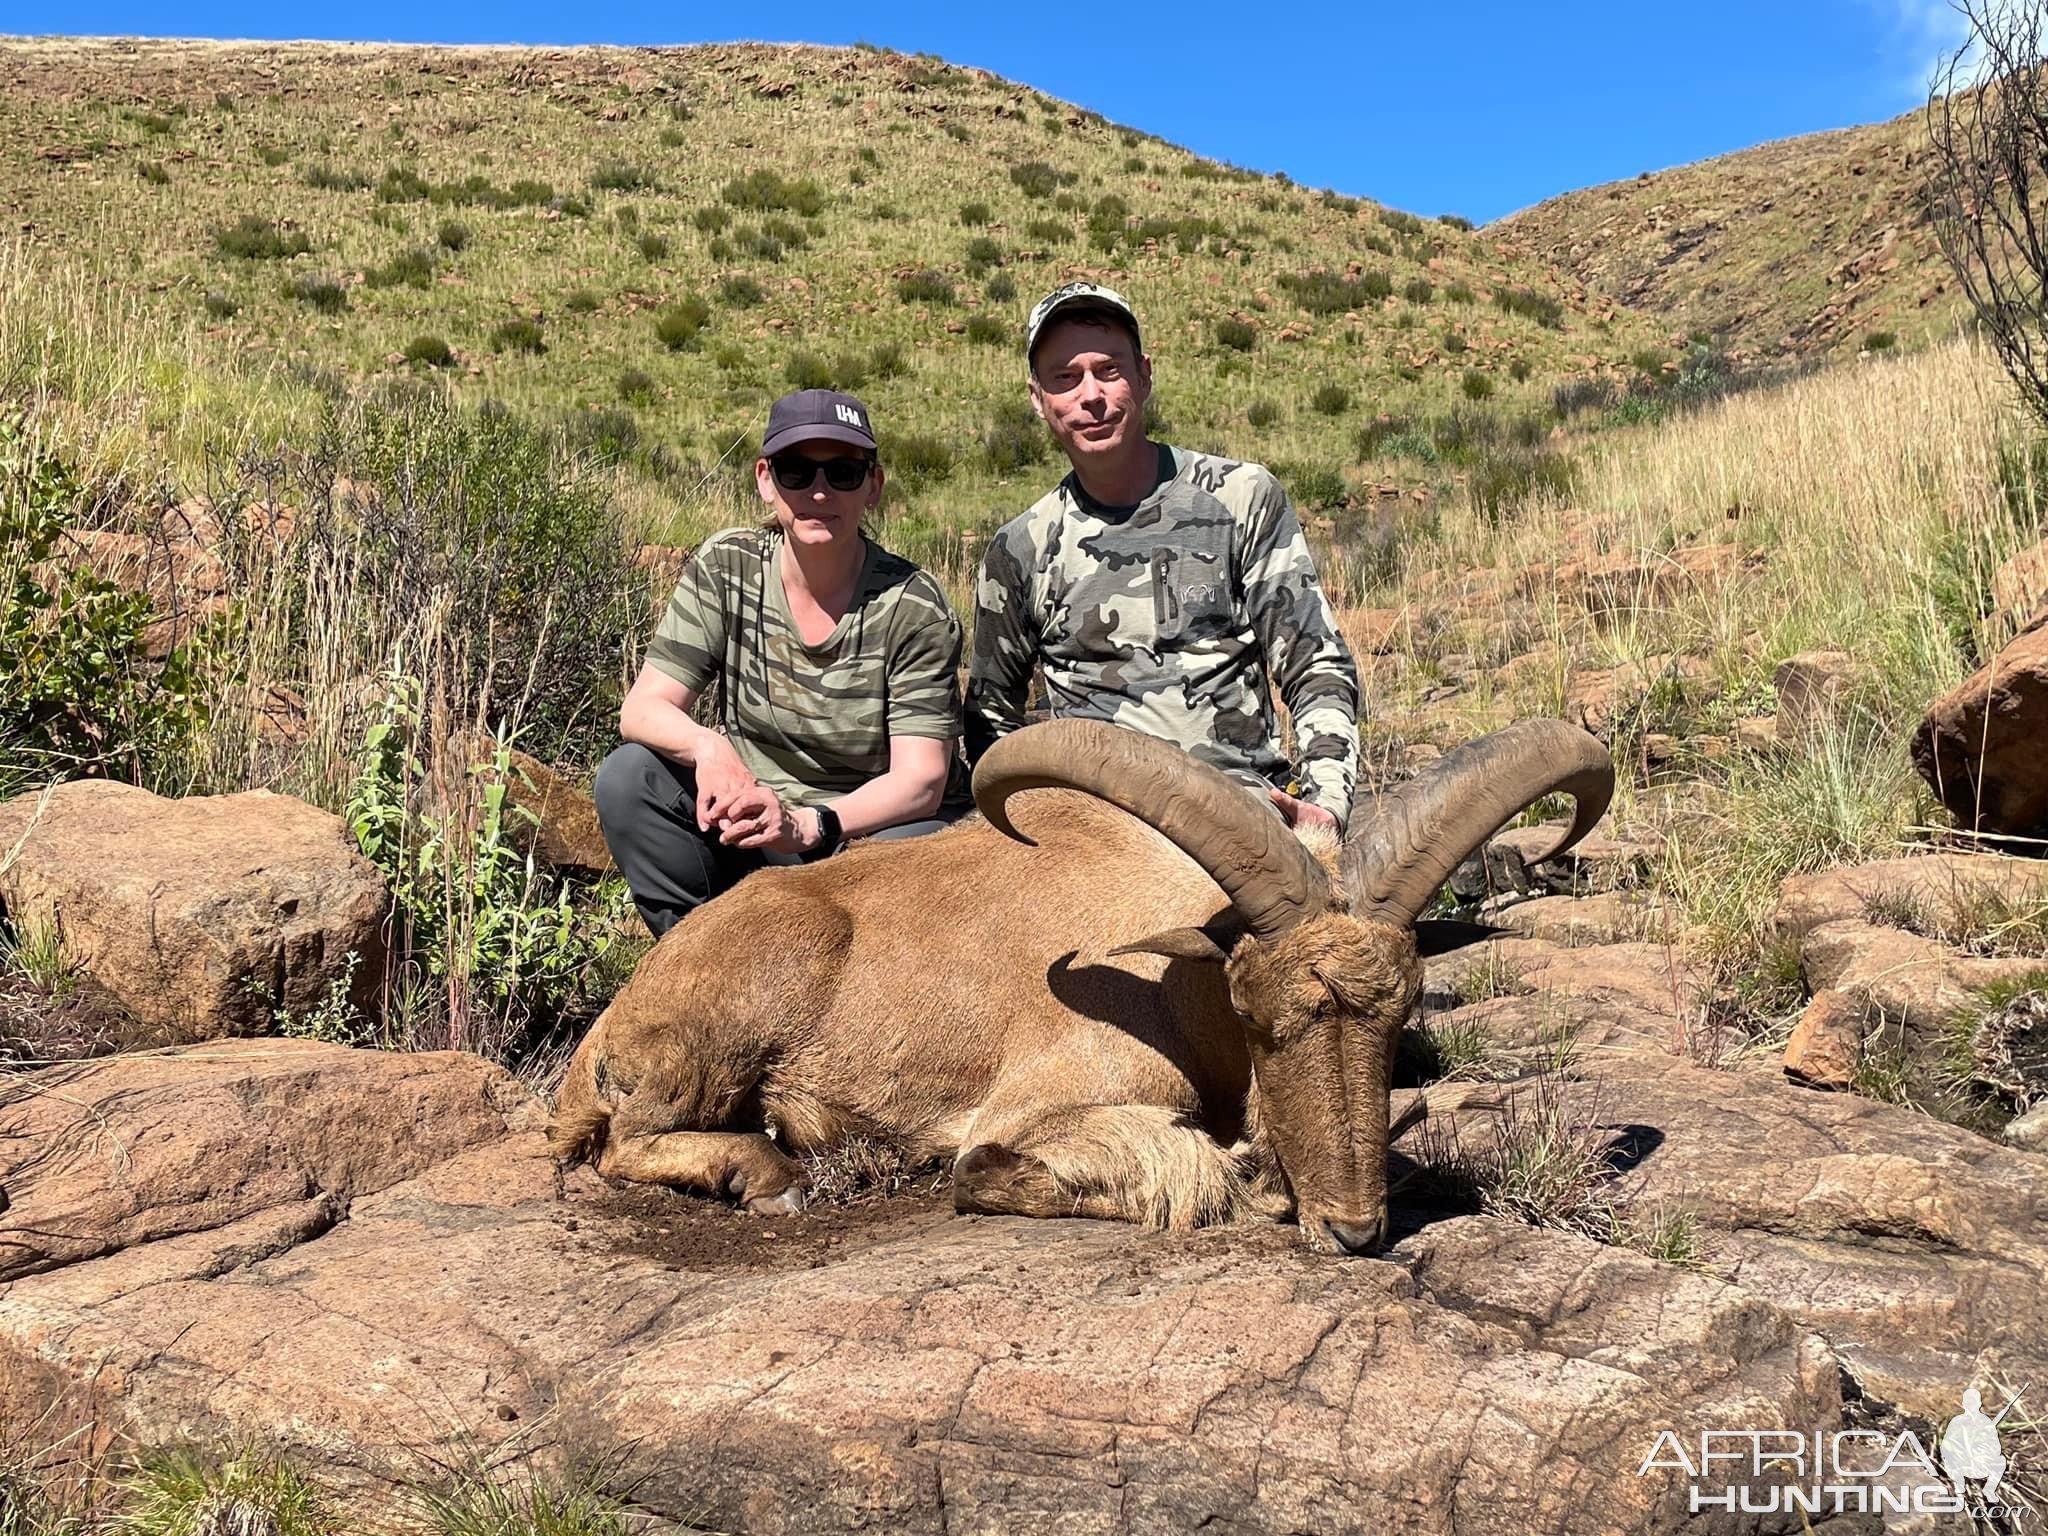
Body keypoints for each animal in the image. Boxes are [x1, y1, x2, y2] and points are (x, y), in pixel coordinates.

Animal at [552, 716, 1605, 1253]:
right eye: (1255, 1015)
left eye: (1399, 1016)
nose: (1354, 1230)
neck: (1174, 986)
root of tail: (609, 1025)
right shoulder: (1042, 1105)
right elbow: (1008, 1167)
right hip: (722, 1030)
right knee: (624, 1144)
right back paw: (769, 1176)